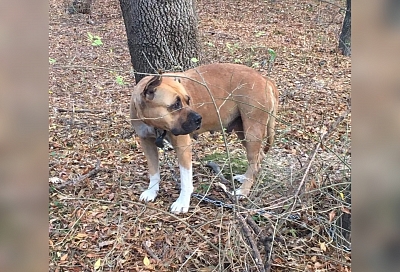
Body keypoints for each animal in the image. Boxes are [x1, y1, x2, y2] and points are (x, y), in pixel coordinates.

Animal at [130, 62, 278, 214]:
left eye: (188, 100)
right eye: (176, 104)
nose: (198, 118)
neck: (154, 124)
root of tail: (265, 79)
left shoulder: (183, 147)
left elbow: (185, 179)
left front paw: (182, 202)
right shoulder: (147, 143)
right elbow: (154, 171)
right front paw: (152, 191)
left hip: (252, 132)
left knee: (254, 162)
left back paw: (243, 191)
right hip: (243, 132)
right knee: (258, 159)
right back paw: (247, 178)